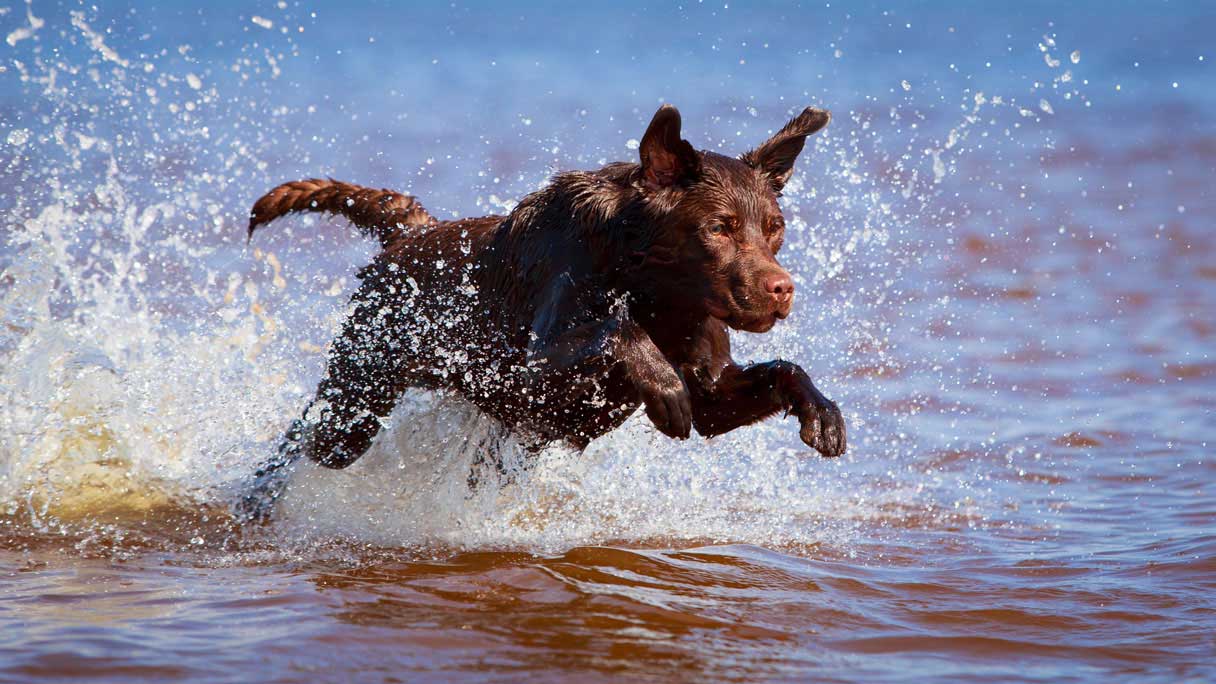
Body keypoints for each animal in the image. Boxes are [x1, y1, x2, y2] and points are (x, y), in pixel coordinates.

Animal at [238, 104, 846, 513]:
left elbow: (780, 373)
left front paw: (822, 412)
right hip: (355, 407)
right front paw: (661, 382)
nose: (782, 289)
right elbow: (615, 329)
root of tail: (410, 231)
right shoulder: (527, 375)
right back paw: (253, 500)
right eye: (719, 228)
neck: (649, 284)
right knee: (300, 440)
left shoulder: (714, 399)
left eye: (775, 229)